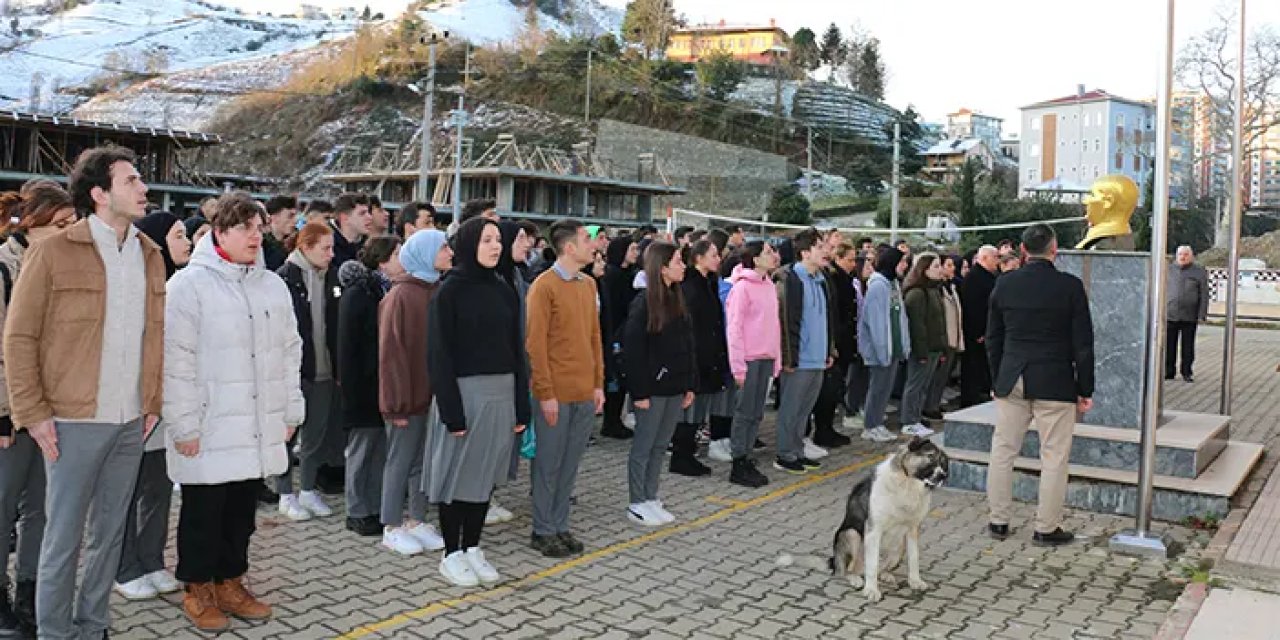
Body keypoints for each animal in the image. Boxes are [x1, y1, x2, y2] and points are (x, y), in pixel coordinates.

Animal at [773, 437, 947, 601]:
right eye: (930, 457)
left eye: (944, 463)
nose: (944, 476)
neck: (907, 484)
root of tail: (834, 562)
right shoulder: (873, 530)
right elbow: (872, 564)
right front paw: (871, 590)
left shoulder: (912, 530)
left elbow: (914, 558)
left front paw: (915, 581)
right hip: (852, 534)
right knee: (846, 571)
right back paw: (855, 579)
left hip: (899, 547)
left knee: (879, 567)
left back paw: (885, 574)